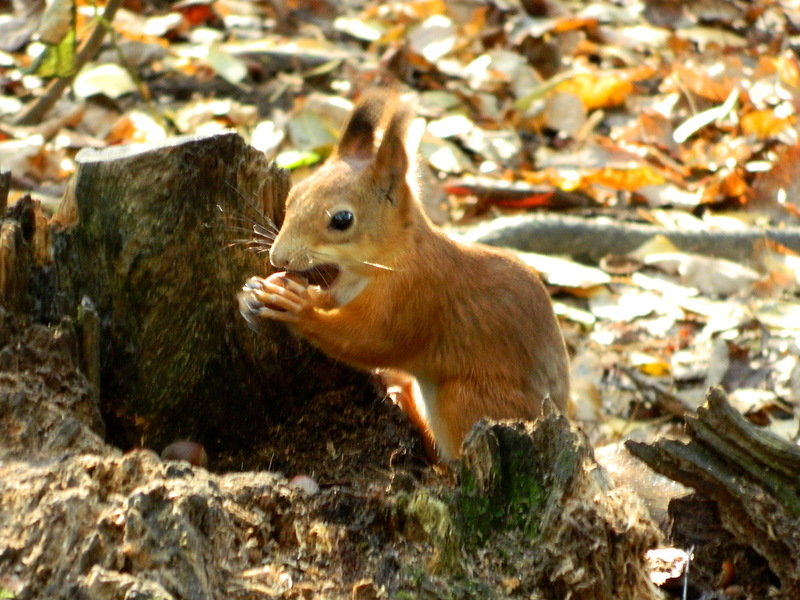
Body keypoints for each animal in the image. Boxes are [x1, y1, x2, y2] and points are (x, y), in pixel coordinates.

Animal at [238, 92, 568, 460]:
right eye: (294, 196)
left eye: (342, 220)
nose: (277, 257)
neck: (387, 261)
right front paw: (256, 291)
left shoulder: (416, 295)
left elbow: (370, 340)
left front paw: (297, 307)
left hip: (466, 400)